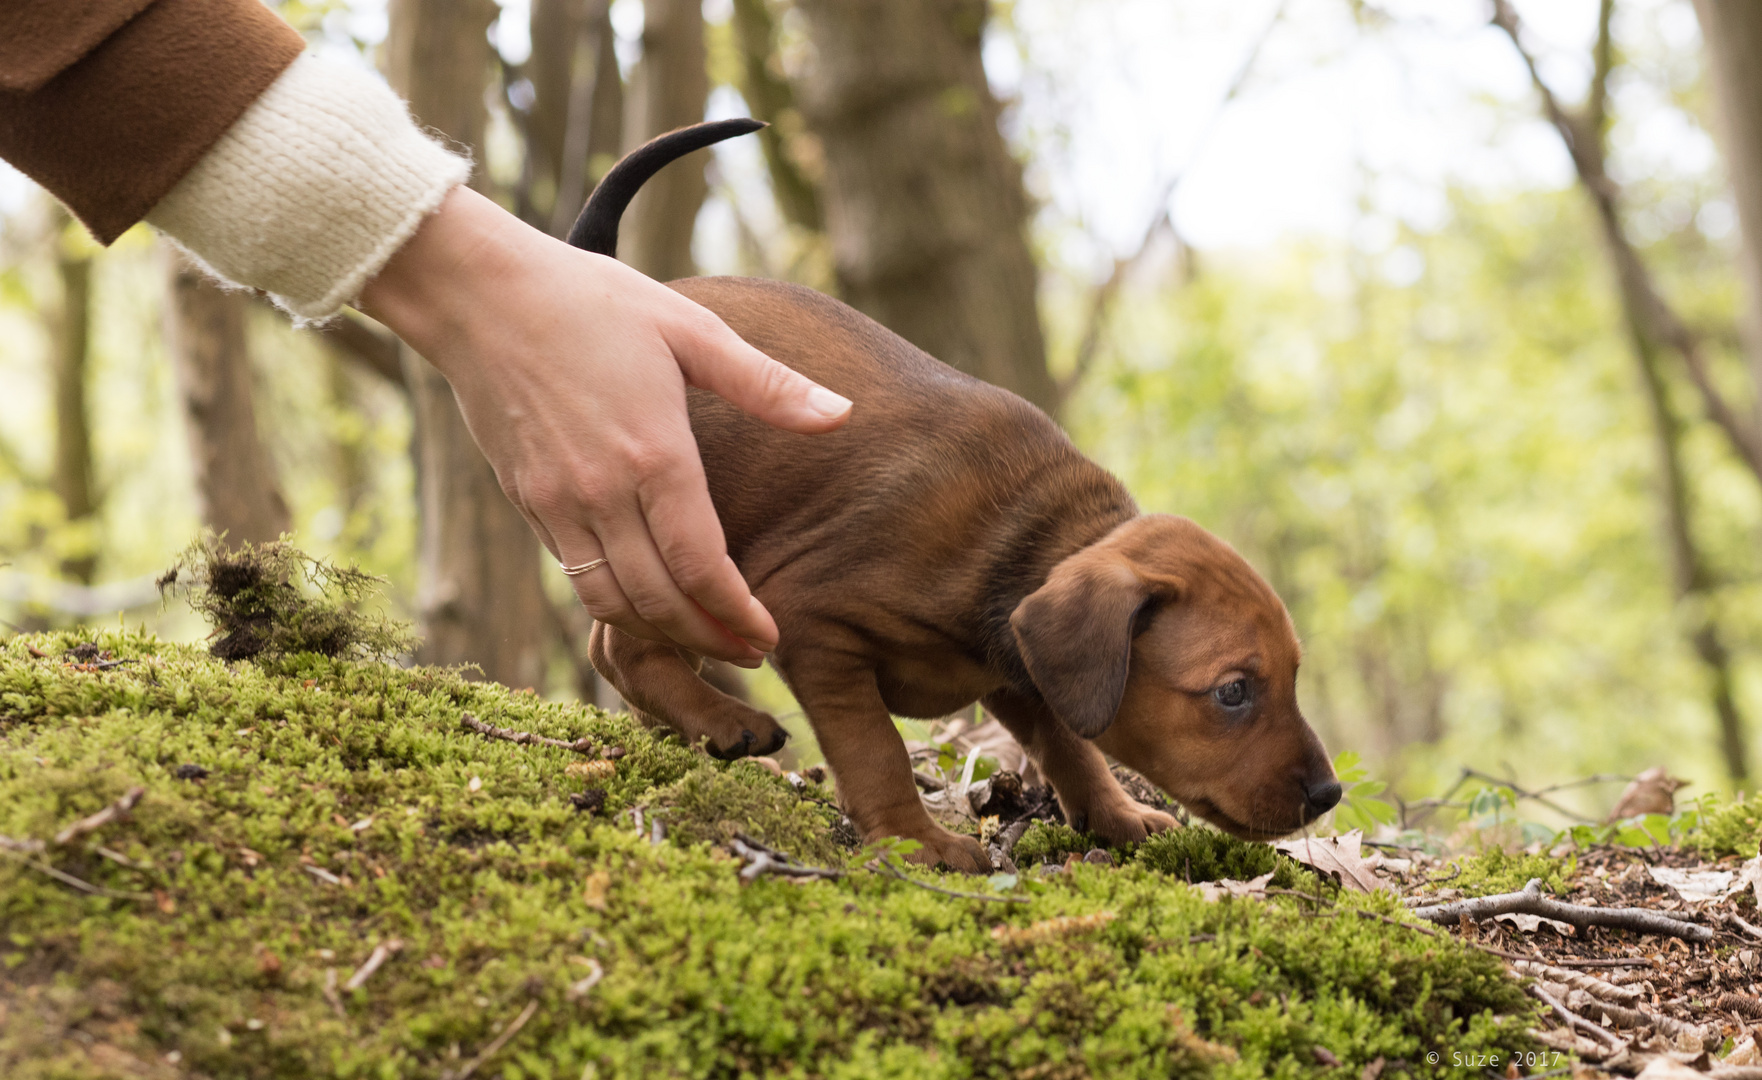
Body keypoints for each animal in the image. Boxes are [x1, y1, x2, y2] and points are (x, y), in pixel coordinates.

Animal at [577, 124, 1332, 866]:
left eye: (1293, 674)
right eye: (1233, 691)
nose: (1328, 795)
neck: (1029, 540)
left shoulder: (1021, 676)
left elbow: (1069, 745)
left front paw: (1116, 815)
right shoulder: (815, 629)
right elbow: (876, 748)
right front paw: (918, 840)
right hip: (673, 526)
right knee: (620, 650)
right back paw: (726, 721)